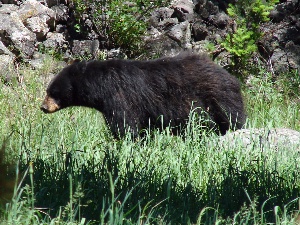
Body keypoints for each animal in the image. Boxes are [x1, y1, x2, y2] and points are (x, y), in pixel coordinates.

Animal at [40, 52, 246, 137]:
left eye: (53, 92)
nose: (43, 107)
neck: (99, 84)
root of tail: (229, 76)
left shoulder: (120, 96)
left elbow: (124, 124)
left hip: (218, 97)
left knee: (231, 118)